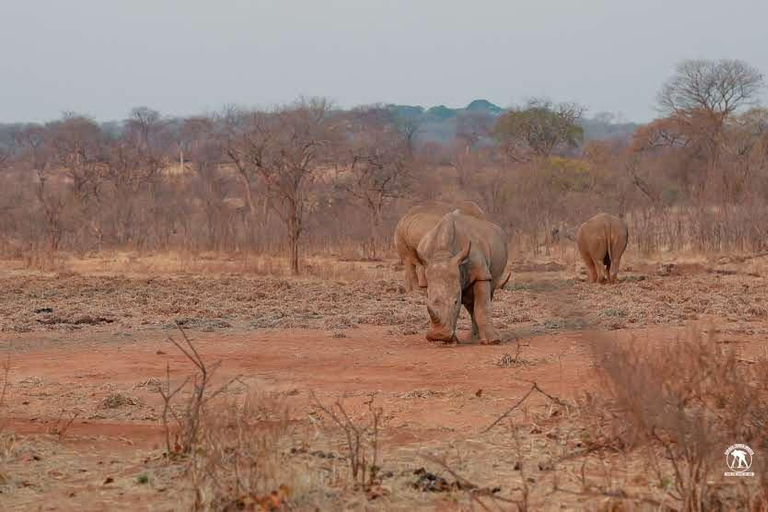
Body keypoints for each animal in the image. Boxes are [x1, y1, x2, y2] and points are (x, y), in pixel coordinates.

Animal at [416, 210, 509, 344]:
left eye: (455, 302)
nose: (438, 336)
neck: (443, 253)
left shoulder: (481, 274)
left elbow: (482, 306)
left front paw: (493, 341)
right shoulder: (425, 279)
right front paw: (451, 341)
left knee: (487, 293)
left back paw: (477, 337)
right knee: (469, 302)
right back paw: (473, 337)